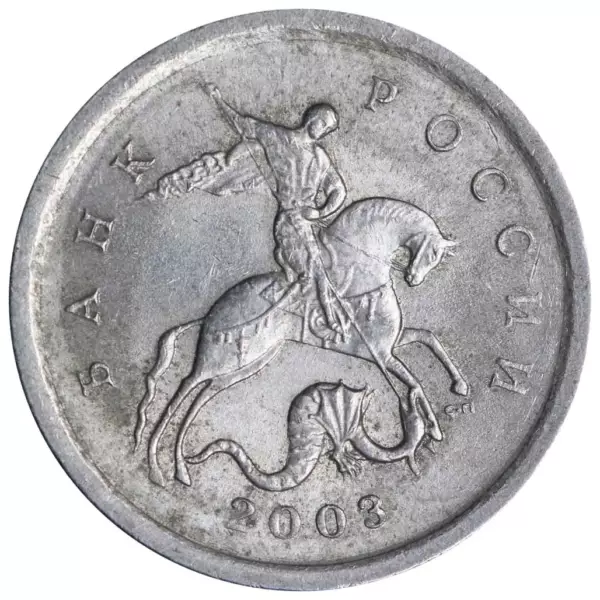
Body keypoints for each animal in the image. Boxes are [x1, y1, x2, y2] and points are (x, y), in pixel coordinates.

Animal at [134, 197, 469, 487]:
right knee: (183, 388)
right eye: (433, 253)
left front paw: (458, 388)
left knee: (201, 397)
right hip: (219, 357)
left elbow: (429, 340)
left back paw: (180, 469)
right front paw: (432, 426)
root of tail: (210, 313)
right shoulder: (382, 355)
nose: (413, 280)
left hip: (247, 363)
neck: (361, 274)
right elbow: (415, 381)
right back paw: (157, 467)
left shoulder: (389, 347)